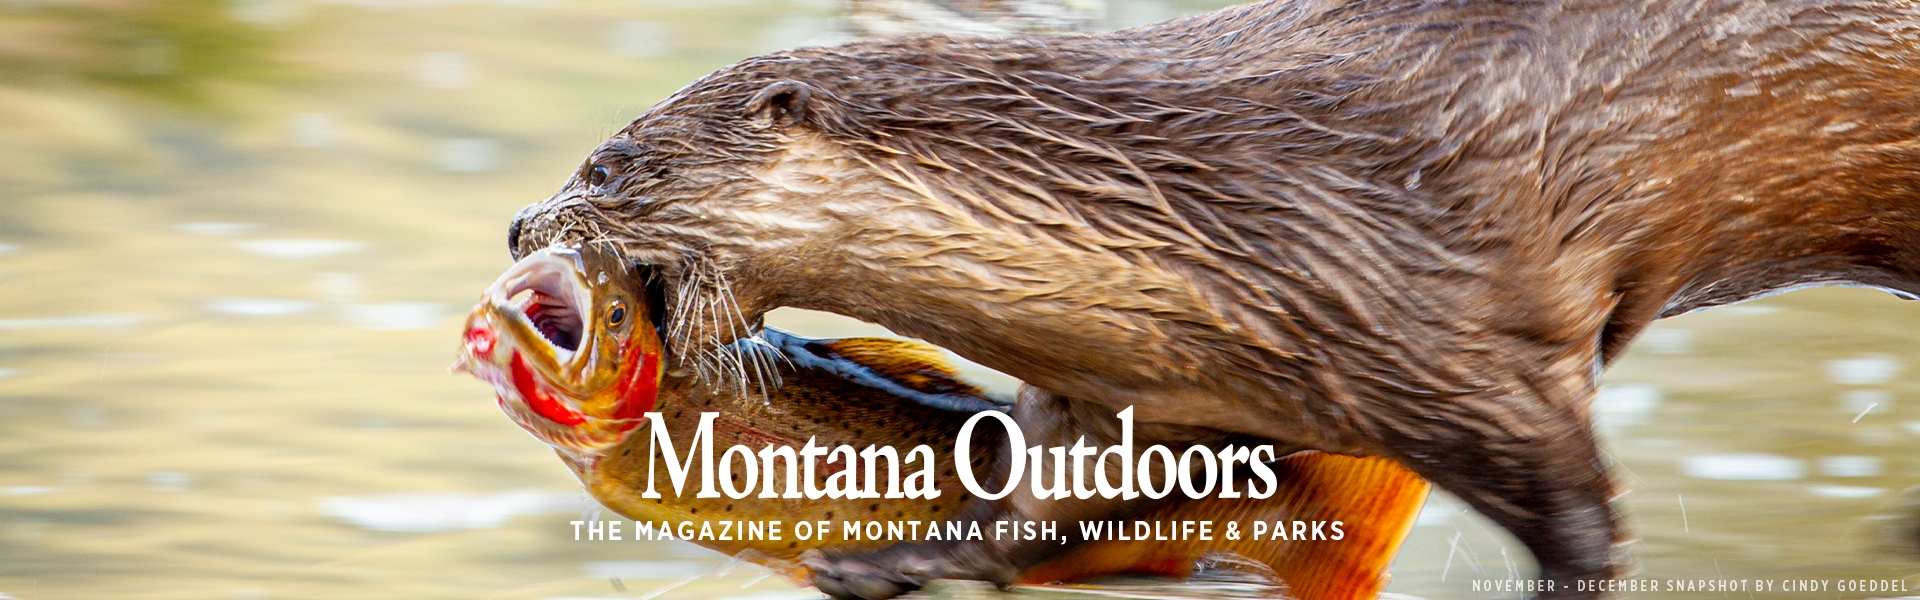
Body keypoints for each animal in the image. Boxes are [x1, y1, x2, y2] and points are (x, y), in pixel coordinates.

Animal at [508, 0, 1920, 597]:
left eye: (611, 162)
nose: (524, 224)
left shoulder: (1475, 330)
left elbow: (1575, 508)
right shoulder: (1132, 379)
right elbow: (1039, 500)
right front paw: (896, 558)